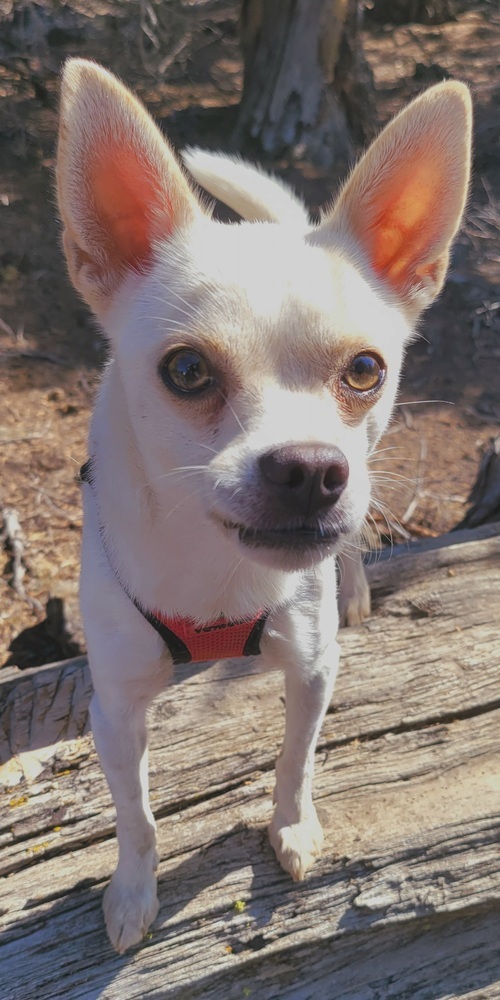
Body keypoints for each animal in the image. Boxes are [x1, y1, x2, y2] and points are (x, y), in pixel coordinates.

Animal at [56, 62, 470, 952]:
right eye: (186, 371)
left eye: (365, 370)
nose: (311, 470)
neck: (216, 573)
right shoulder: (115, 711)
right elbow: (136, 817)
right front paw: (132, 893)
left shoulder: (312, 671)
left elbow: (294, 762)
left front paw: (291, 829)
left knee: (349, 551)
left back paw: (353, 586)